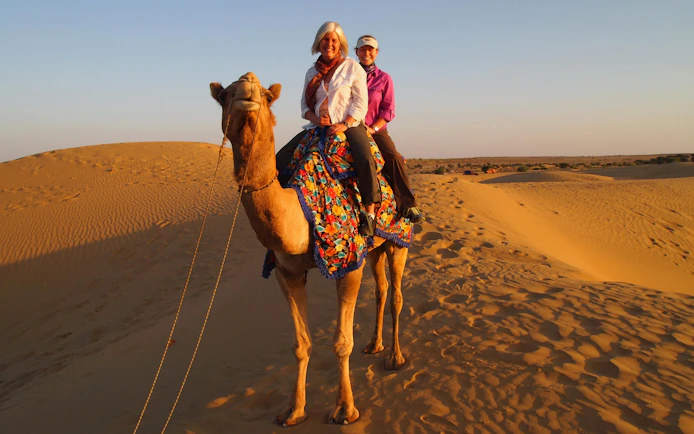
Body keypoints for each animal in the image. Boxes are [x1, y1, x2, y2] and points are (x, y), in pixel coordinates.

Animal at [210, 72, 409, 427]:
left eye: (266, 96)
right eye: (225, 95)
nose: (248, 88)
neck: (300, 216)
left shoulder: (348, 264)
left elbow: (342, 342)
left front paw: (344, 410)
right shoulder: (287, 272)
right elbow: (301, 344)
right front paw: (293, 410)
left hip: (399, 241)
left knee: (397, 294)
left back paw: (395, 358)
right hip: (374, 248)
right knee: (382, 289)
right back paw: (374, 345)